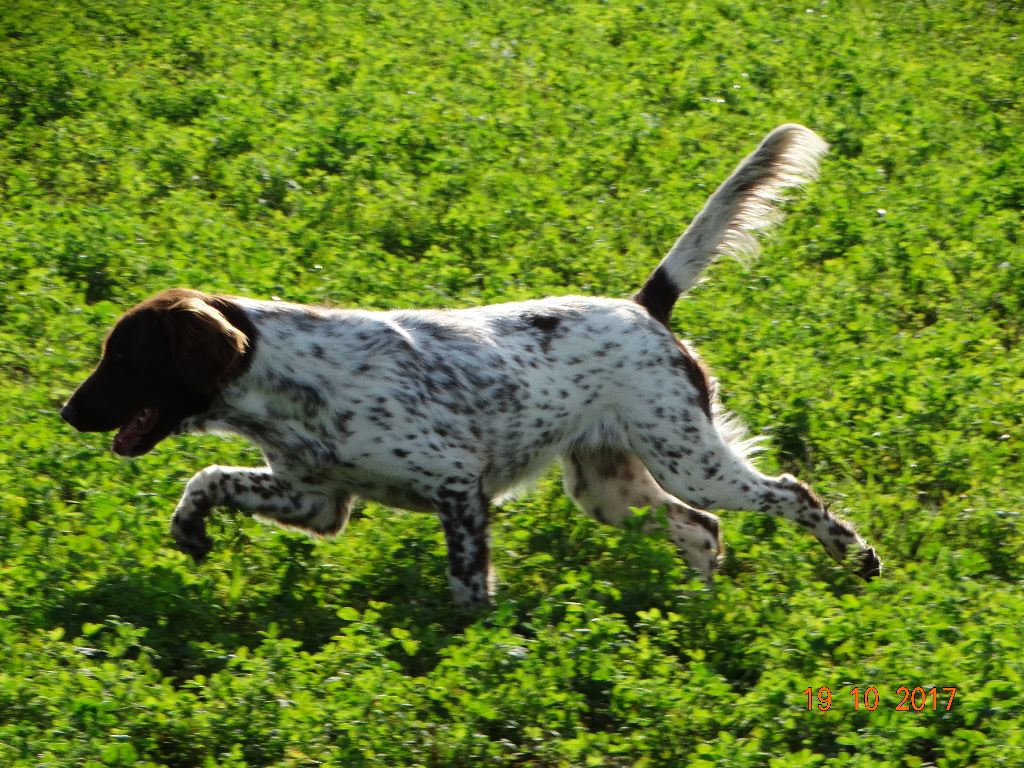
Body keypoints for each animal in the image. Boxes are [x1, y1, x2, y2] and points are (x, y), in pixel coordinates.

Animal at [61, 124, 880, 606]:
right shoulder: (315, 499)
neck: (287, 384)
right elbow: (208, 477)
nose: (67, 411)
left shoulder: (457, 483)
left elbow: (466, 585)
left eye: (123, 357)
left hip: (687, 458)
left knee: (789, 493)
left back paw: (856, 555)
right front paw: (189, 529)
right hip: (607, 485)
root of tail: (644, 305)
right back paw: (697, 609)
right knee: (702, 531)